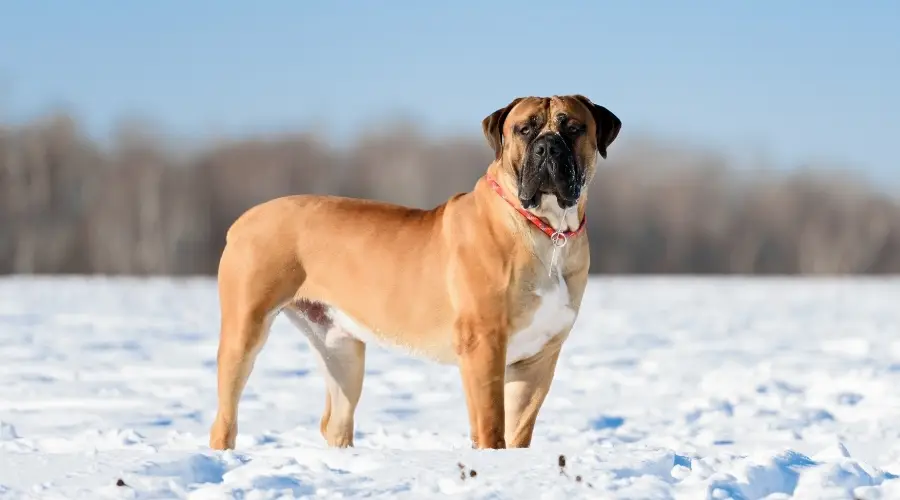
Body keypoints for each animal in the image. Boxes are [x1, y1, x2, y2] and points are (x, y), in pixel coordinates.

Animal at [208, 94, 624, 450]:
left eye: (573, 128)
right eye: (525, 129)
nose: (547, 147)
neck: (548, 230)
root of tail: (244, 219)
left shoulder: (539, 358)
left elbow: (518, 429)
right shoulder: (484, 344)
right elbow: (491, 425)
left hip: (340, 348)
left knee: (336, 421)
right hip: (245, 330)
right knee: (225, 419)